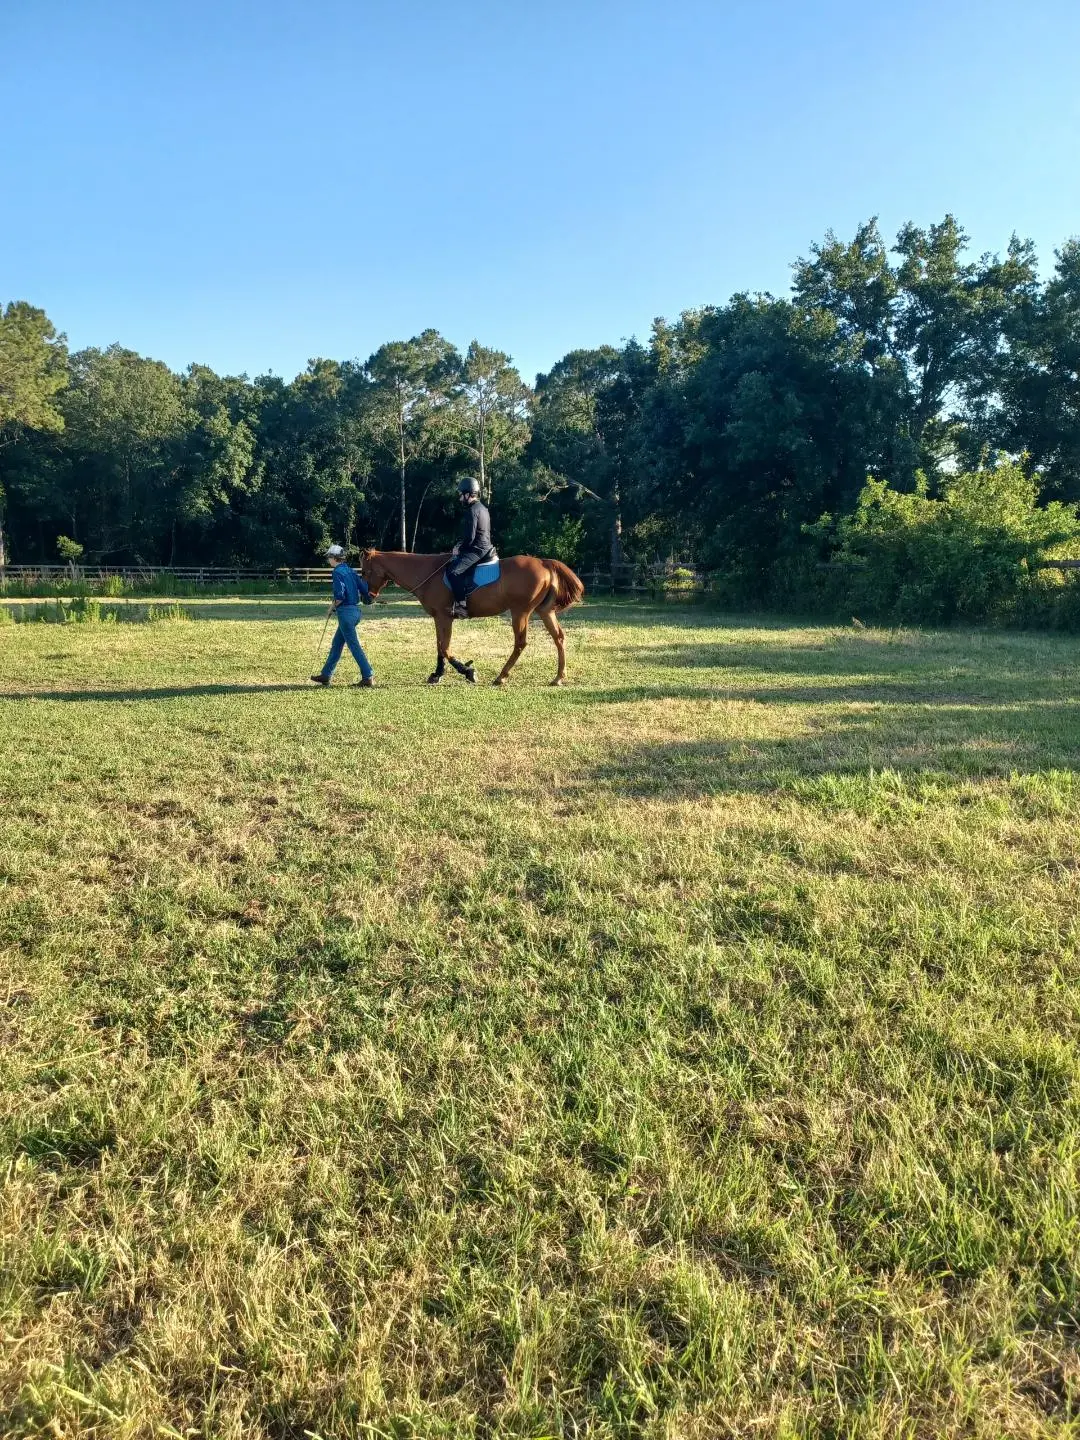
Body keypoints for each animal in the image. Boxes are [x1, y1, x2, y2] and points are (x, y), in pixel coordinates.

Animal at [358, 549, 585, 686]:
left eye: (366, 571)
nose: (366, 597)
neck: (428, 573)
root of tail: (543, 563)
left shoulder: (444, 617)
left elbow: (445, 648)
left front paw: (467, 670)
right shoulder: (438, 618)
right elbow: (439, 647)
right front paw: (437, 674)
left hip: (520, 612)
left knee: (520, 643)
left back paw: (501, 676)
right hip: (544, 612)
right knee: (559, 638)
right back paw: (558, 677)